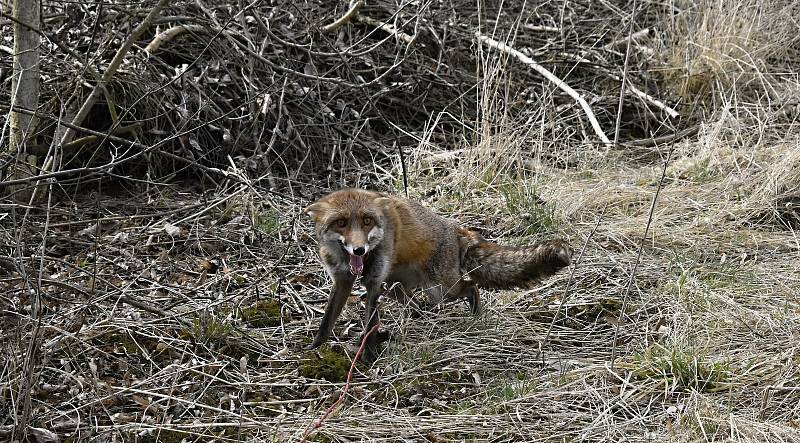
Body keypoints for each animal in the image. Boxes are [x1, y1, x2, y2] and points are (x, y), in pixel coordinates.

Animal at [304, 188, 572, 364]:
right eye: (341, 223)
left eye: (367, 221)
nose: (359, 249)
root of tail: (457, 228)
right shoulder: (343, 281)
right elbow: (326, 323)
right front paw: (312, 349)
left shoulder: (373, 284)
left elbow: (369, 324)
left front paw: (368, 357)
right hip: (397, 286)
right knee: (414, 302)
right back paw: (413, 321)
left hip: (440, 289)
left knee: (471, 286)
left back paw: (476, 315)